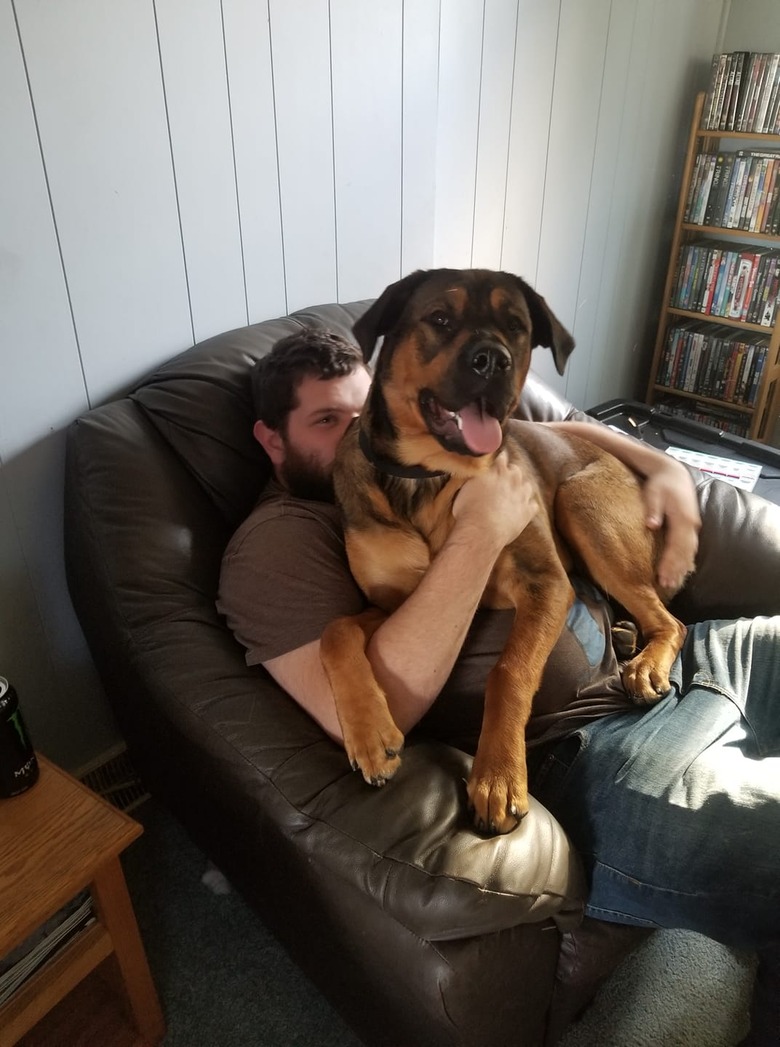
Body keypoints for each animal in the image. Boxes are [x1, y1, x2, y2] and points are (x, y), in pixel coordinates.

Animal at [320, 270, 682, 833]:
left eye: (515, 326)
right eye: (440, 318)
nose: (493, 360)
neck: (429, 476)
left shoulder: (544, 582)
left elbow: (509, 670)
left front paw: (497, 776)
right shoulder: (395, 605)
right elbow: (335, 631)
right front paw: (370, 734)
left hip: (581, 504)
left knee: (671, 620)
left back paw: (645, 663)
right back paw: (626, 638)